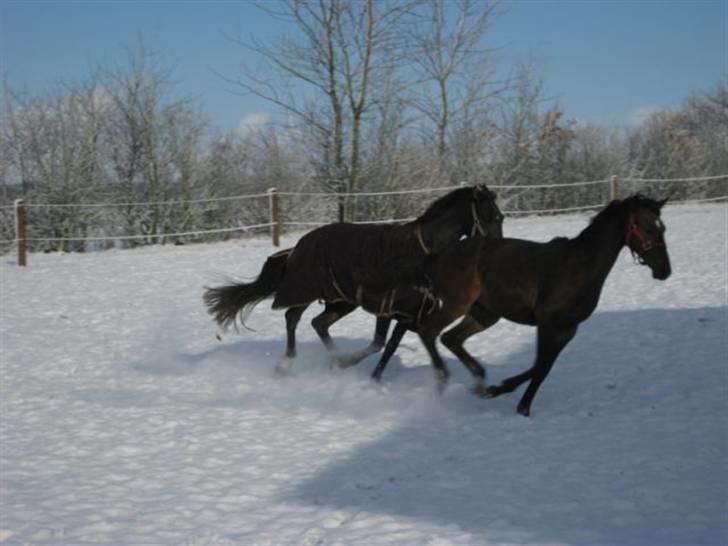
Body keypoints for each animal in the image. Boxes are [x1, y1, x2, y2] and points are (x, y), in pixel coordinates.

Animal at [202, 183, 504, 374]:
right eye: (493, 216)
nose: (497, 251)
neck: (422, 251)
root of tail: (296, 248)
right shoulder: (387, 308)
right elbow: (378, 344)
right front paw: (349, 364)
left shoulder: (409, 313)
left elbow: (389, 347)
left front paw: (372, 378)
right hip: (306, 291)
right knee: (293, 318)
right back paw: (288, 364)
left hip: (341, 300)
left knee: (318, 323)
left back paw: (331, 358)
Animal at [370, 193, 672, 414]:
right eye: (646, 228)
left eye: (663, 228)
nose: (664, 271)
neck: (579, 268)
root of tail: (439, 255)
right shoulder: (548, 325)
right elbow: (540, 366)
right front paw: (509, 396)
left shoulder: (568, 329)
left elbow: (542, 368)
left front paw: (512, 400)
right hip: (457, 304)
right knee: (429, 332)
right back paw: (445, 378)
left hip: (485, 313)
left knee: (450, 338)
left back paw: (479, 381)